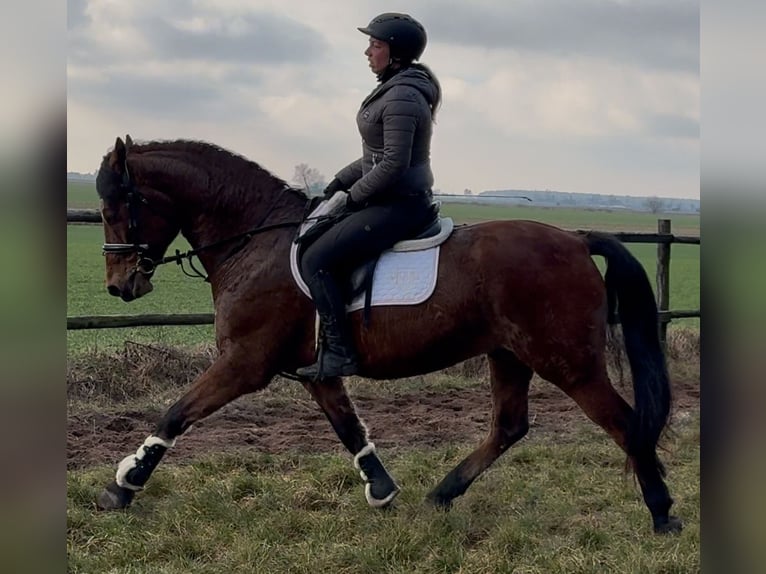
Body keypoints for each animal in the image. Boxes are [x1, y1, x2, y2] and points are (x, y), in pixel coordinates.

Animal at [91, 136, 684, 536]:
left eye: (116, 206)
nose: (120, 286)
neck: (255, 241)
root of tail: (577, 239)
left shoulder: (244, 362)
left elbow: (176, 413)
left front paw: (124, 485)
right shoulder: (315, 372)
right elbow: (349, 428)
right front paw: (381, 491)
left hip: (567, 362)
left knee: (625, 423)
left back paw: (662, 514)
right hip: (509, 353)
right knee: (510, 426)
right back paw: (441, 495)